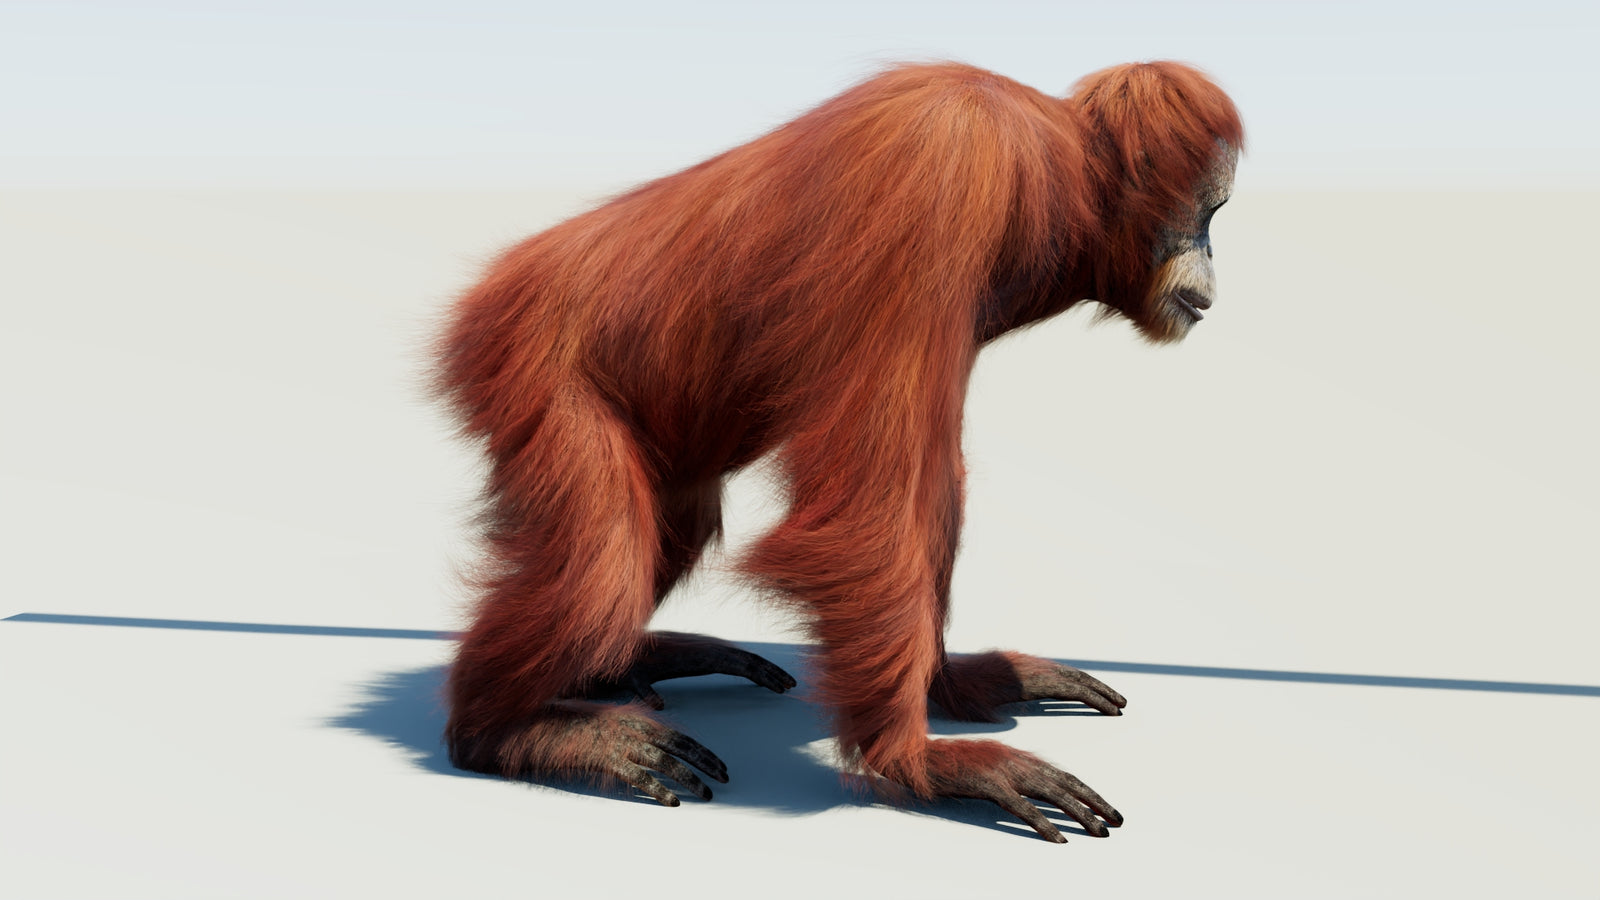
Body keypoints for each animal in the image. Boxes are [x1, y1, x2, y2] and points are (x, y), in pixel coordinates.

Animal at [433, 60, 1242, 842]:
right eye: (1208, 213)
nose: (1213, 266)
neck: (1060, 175)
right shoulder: (945, 170)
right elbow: (866, 502)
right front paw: (917, 759)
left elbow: (930, 483)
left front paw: (959, 684)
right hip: (527, 362)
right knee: (604, 566)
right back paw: (505, 732)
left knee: (671, 527)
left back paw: (613, 670)